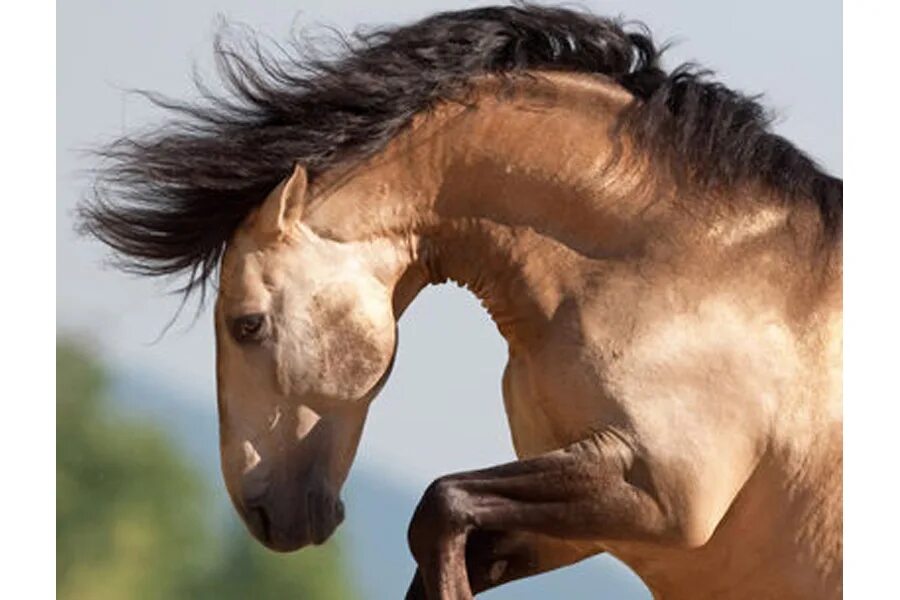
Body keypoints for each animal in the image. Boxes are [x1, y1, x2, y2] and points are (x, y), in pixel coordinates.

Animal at [81, 5, 840, 600]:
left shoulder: (661, 494)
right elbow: (442, 539)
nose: (265, 515)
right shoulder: (588, 523)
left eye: (246, 324)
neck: (679, 261)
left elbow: (438, 505)